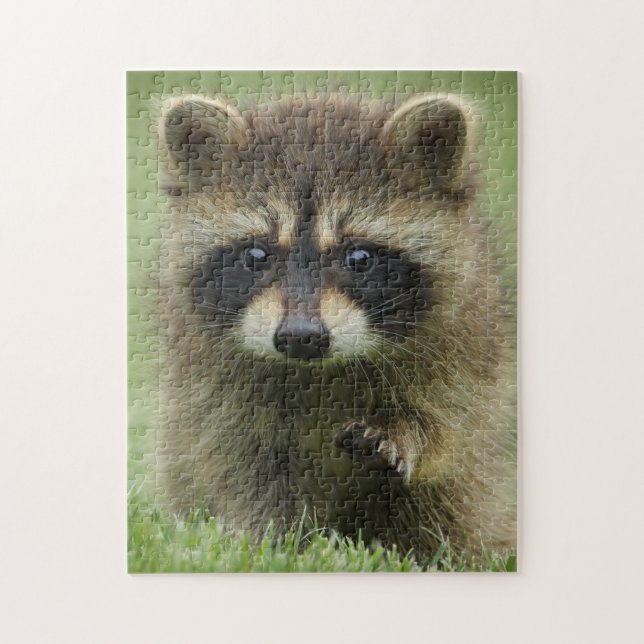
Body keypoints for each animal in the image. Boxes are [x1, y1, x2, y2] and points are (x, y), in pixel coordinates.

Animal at [156, 93, 516, 559]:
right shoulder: (209, 385)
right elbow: (241, 469)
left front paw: (406, 432)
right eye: (256, 255)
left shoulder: (465, 340)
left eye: (358, 258)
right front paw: (276, 543)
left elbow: (450, 427)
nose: (301, 338)